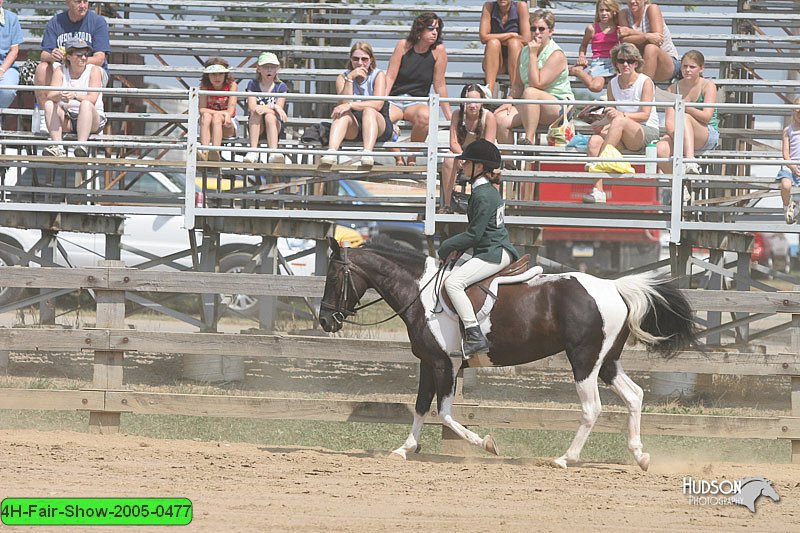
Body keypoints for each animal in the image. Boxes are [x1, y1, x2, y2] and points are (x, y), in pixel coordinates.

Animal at [318, 238, 692, 470]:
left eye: (333, 277)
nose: (325, 320)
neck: (420, 293)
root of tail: (613, 287)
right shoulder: (429, 362)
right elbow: (422, 406)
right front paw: (404, 449)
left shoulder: (445, 363)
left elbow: (445, 413)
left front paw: (486, 443)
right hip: (606, 363)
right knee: (634, 396)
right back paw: (640, 456)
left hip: (584, 362)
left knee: (592, 408)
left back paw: (564, 458)